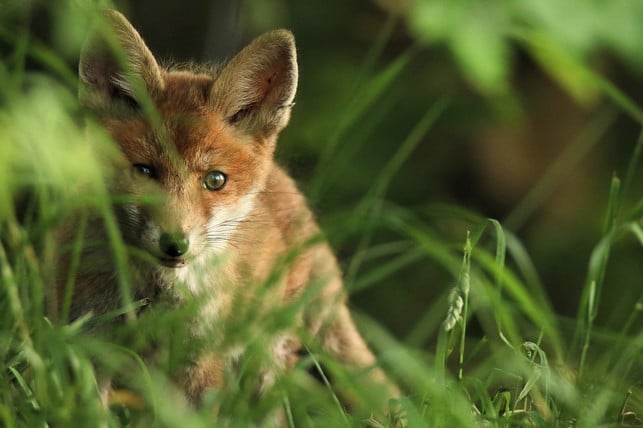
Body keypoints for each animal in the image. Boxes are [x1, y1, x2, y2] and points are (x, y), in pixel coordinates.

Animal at [55, 9, 397, 415]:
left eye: (215, 180)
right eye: (143, 172)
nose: (175, 244)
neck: (153, 295)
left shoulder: (199, 361)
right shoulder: (84, 338)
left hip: (265, 360)